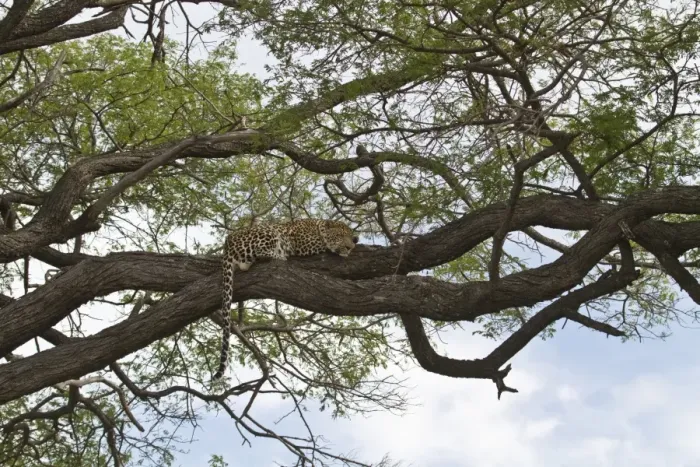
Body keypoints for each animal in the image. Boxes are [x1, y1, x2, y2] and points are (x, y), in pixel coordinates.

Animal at [212, 219, 358, 380]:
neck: (318, 227)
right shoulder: (304, 243)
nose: (349, 247)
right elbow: (325, 245)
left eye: (347, 236)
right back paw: (280, 255)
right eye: (339, 235)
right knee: (261, 251)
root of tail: (227, 244)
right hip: (269, 232)